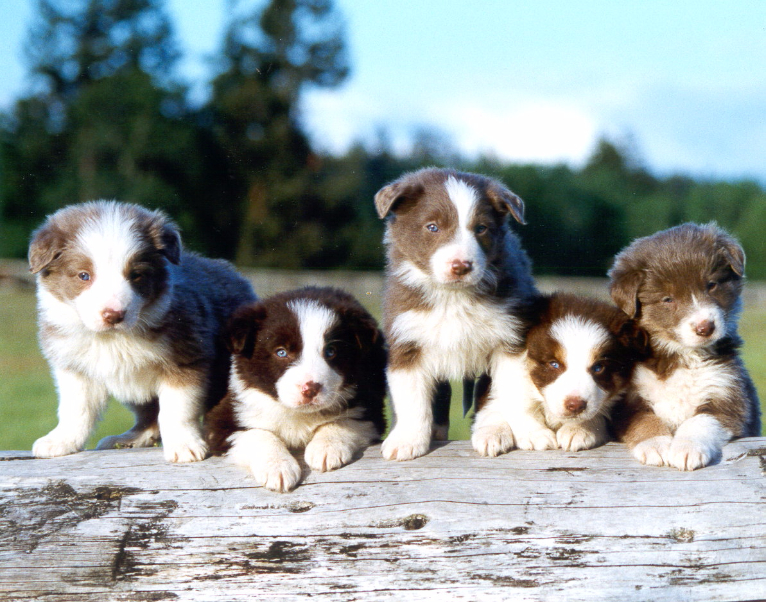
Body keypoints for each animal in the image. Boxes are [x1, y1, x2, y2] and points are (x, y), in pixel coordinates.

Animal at [30, 199, 258, 462]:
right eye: (84, 276)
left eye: (136, 275)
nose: (114, 315)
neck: (113, 338)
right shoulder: (75, 368)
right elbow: (76, 408)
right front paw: (61, 441)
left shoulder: (186, 359)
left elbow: (177, 409)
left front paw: (184, 445)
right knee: (149, 417)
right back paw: (127, 439)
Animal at [204, 288, 388, 492]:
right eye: (281, 352)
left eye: (331, 351)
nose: (310, 389)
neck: (299, 414)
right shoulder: (222, 421)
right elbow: (258, 434)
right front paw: (277, 468)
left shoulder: (370, 409)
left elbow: (343, 421)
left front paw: (326, 449)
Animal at [376, 166, 536, 458]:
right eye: (433, 227)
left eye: (481, 228)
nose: (461, 266)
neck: (453, 296)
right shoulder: (406, 339)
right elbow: (411, 398)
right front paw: (406, 440)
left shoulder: (509, 338)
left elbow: (508, 393)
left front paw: (507, 431)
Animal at [474, 292, 648, 452]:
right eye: (554, 364)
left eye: (598, 367)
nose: (575, 406)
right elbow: (497, 406)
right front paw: (493, 434)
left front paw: (578, 430)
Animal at [612, 221, 760, 468]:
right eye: (668, 299)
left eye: (711, 285)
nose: (705, 327)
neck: (683, 355)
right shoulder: (628, 399)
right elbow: (643, 418)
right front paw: (655, 445)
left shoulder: (728, 395)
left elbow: (700, 421)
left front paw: (687, 449)